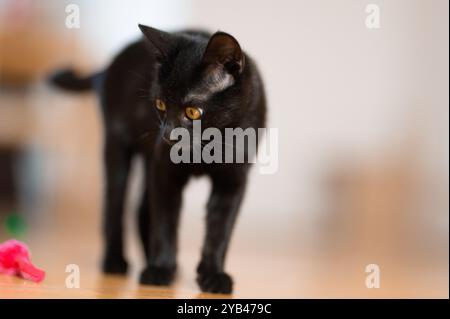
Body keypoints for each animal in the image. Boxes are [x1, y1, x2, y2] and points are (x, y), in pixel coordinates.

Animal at [51, 25, 266, 296]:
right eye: (161, 104)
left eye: (192, 112)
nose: (167, 135)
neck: (208, 147)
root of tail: (109, 65)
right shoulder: (165, 170)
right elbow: (165, 221)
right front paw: (160, 269)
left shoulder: (233, 180)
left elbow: (220, 229)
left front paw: (213, 275)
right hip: (117, 147)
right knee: (115, 205)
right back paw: (115, 262)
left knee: (142, 208)